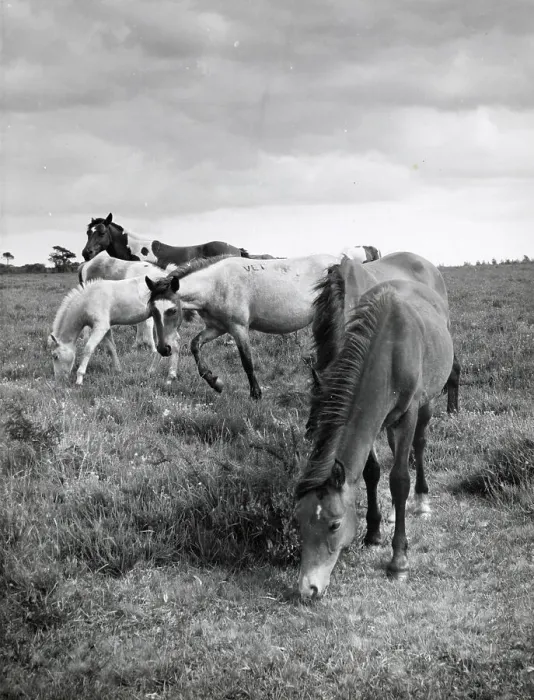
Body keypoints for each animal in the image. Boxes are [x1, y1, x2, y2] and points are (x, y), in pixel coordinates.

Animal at [48, 268, 179, 385]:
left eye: (55, 356)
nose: (59, 379)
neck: (89, 299)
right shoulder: (105, 328)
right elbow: (111, 348)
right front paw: (118, 369)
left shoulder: (100, 328)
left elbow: (88, 348)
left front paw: (79, 378)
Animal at [144, 253, 339, 399]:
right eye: (152, 310)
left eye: (172, 310)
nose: (163, 349)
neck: (217, 285)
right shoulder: (217, 328)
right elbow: (195, 345)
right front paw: (215, 382)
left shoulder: (239, 329)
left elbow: (247, 362)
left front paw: (256, 394)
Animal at [295, 279, 454, 600]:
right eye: (300, 523)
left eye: (334, 525)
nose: (309, 587)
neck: (388, 351)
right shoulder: (374, 420)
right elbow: (372, 472)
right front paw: (373, 533)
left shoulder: (408, 413)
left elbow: (399, 480)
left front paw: (399, 561)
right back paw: (394, 513)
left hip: (427, 403)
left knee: (419, 445)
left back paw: (421, 501)